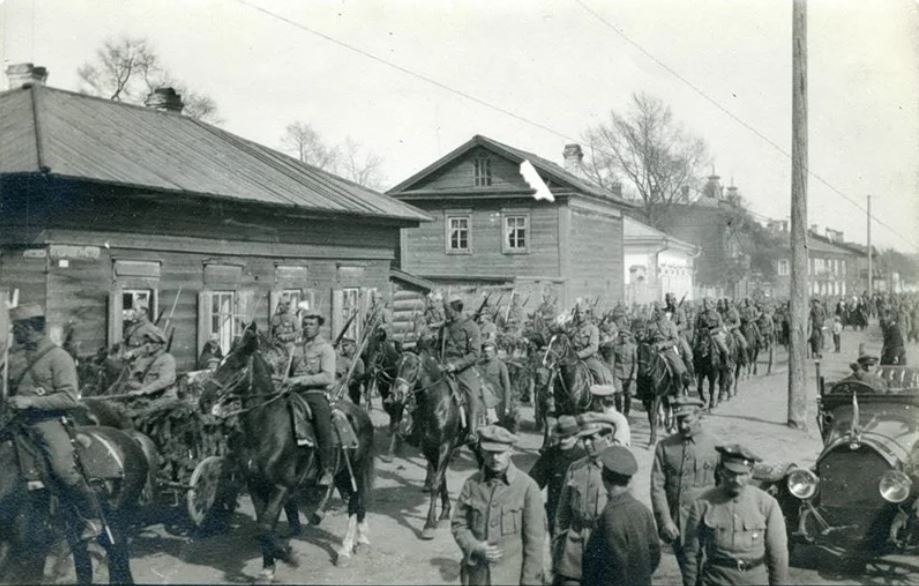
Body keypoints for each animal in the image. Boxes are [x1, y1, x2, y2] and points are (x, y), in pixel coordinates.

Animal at [206, 324, 378, 580]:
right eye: (221, 362)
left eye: (237, 365)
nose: (205, 396)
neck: (266, 429)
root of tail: (359, 413)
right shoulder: (256, 485)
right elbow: (263, 525)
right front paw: (268, 567)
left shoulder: (281, 486)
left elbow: (266, 525)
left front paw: (287, 555)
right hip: (342, 473)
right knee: (356, 502)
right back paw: (361, 539)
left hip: (355, 469)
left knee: (355, 502)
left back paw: (346, 550)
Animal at [392, 346, 470, 540]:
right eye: (396, 365)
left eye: (413, 366)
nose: (398, 393)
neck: (437, 404)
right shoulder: (429, 448)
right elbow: (440, 480)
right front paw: (444, 513)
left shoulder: (445, 446)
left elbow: (436, 483)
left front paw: (428, 524)